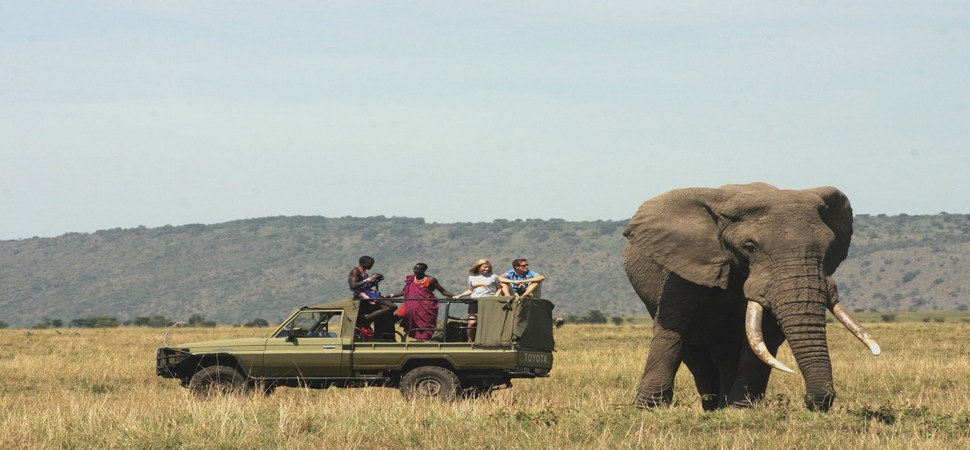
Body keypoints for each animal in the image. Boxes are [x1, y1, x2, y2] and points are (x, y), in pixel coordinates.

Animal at [620, 182, 876, 412]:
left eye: (829, 248)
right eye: (750, 247)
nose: (813, 404)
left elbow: (766, 334)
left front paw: (740, 410)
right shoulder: (684, 264)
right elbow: (674, 327)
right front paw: (648, 410)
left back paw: (720, 407)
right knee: (696, 352)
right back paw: (711, 406)